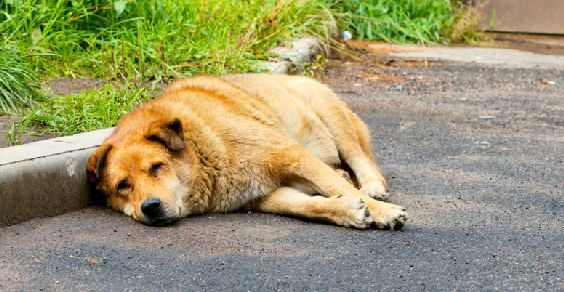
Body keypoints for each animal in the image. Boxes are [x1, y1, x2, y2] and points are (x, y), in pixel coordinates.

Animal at [86, 74, 408, 229]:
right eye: (123, 185)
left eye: (156, 167)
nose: (149, 207)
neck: (205, 148)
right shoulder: (265, 195)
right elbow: (308, 206)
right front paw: (346, 211)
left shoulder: (291, 155)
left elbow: (338, 188)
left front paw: (381, 212)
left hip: (329, 112)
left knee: (360, 156)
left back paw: (372, 186)